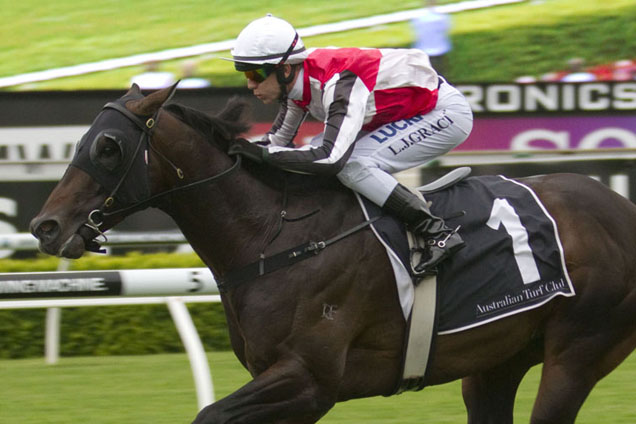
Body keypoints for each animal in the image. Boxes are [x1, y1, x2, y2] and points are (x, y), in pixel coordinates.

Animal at [31, 83, 636, 424]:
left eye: (108, 146)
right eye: (81, 140)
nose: (45, 226)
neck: (274, 239)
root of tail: (622, 209)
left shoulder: (308, 381)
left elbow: (209, 414)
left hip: (579, 349)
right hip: (496, 361)